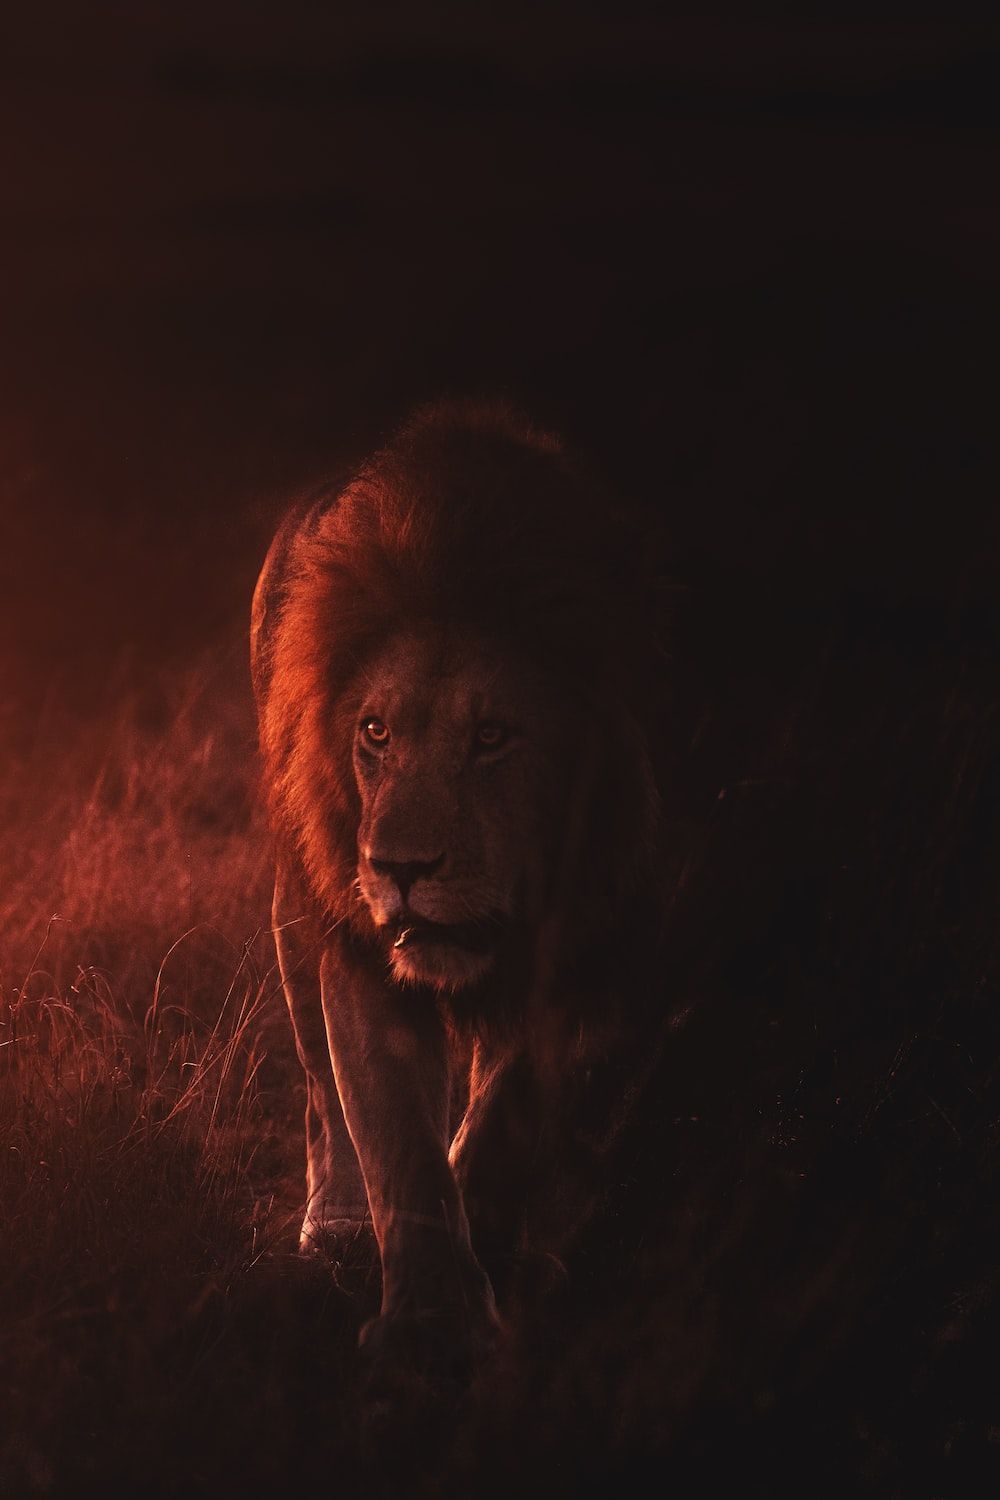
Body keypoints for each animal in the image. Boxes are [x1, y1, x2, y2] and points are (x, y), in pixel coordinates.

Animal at [251, 399, 664, 1383]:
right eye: (374, 732)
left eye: (491, 737)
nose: (400, 869)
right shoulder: (362, 950)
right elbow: (392, 1129)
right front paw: (430, 1322)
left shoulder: (596, 932)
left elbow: (509, 1106)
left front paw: (493, 1236)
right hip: (299, 910)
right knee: (322, 1092)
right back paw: (336, 1226)